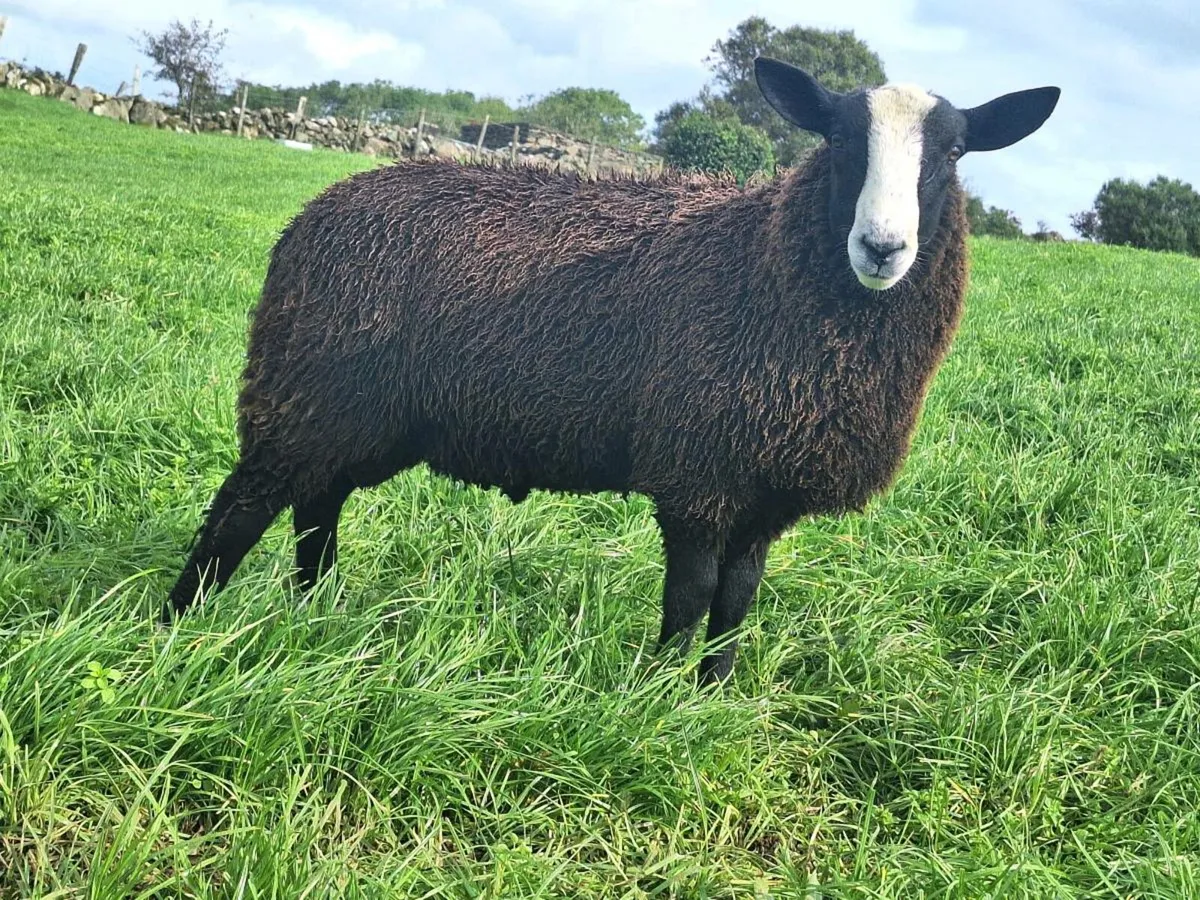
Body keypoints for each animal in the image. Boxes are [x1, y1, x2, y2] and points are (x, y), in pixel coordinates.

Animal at [164, 58, 1060, 683]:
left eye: (954, 151)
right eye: (839, 139)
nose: (882, 248)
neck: (769, 269)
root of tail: (315, 211)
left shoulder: (764, 488)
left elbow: (737, 603)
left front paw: (715, 695)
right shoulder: (699, 474)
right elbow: (691, 596)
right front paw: (658, 698)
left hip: (358, 417)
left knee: (317, 508)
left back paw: (317, 612)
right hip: (303, 392)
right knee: (240, 513)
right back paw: (178, 630)